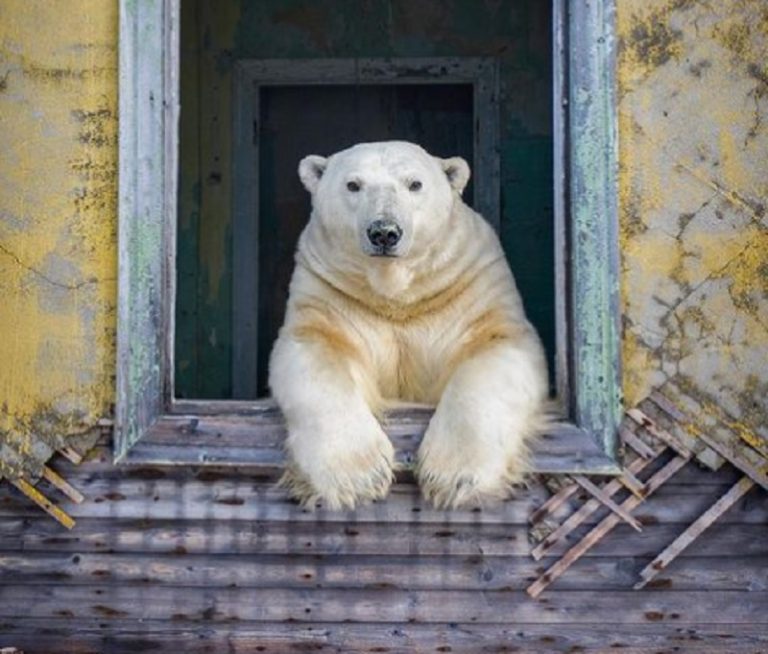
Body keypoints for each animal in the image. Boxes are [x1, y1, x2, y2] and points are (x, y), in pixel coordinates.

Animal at [269, 141, 548, 510]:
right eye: (353, 184)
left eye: (415, 184)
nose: (384, 232)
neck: (397, 296)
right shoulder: (329, 292)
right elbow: (315, 352)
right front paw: (357, 477)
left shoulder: (469, 286)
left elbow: (496, 348)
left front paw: (454, 477)